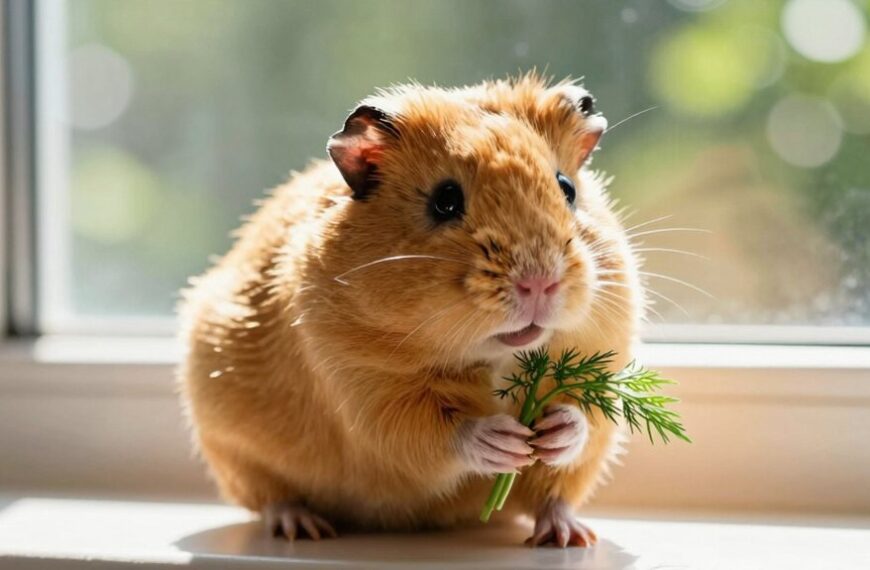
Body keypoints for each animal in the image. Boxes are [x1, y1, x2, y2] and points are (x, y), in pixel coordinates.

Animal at [178, 74, 642, 548]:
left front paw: (550, 435)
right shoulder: (367, 391)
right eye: (445, 200)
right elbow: (440, 433)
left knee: (556, 499)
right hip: (236, 451)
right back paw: (302, 529)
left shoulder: (602, 362)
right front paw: (507, 441)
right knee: (272, 498)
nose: (539, 282)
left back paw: (569, 536)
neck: (498, 354)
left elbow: (583, 416)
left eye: (566, 188)